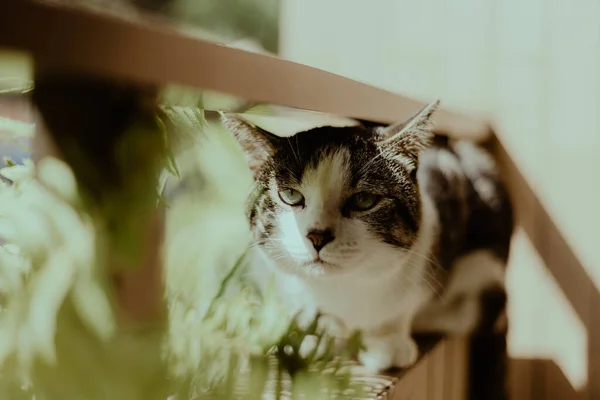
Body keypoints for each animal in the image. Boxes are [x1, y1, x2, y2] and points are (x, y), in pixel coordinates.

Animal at [223, 101, 512, 374]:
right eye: (290, 195)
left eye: (364, 200)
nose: (316, 236)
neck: (344, 288)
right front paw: (315, 333)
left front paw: (386, 341)